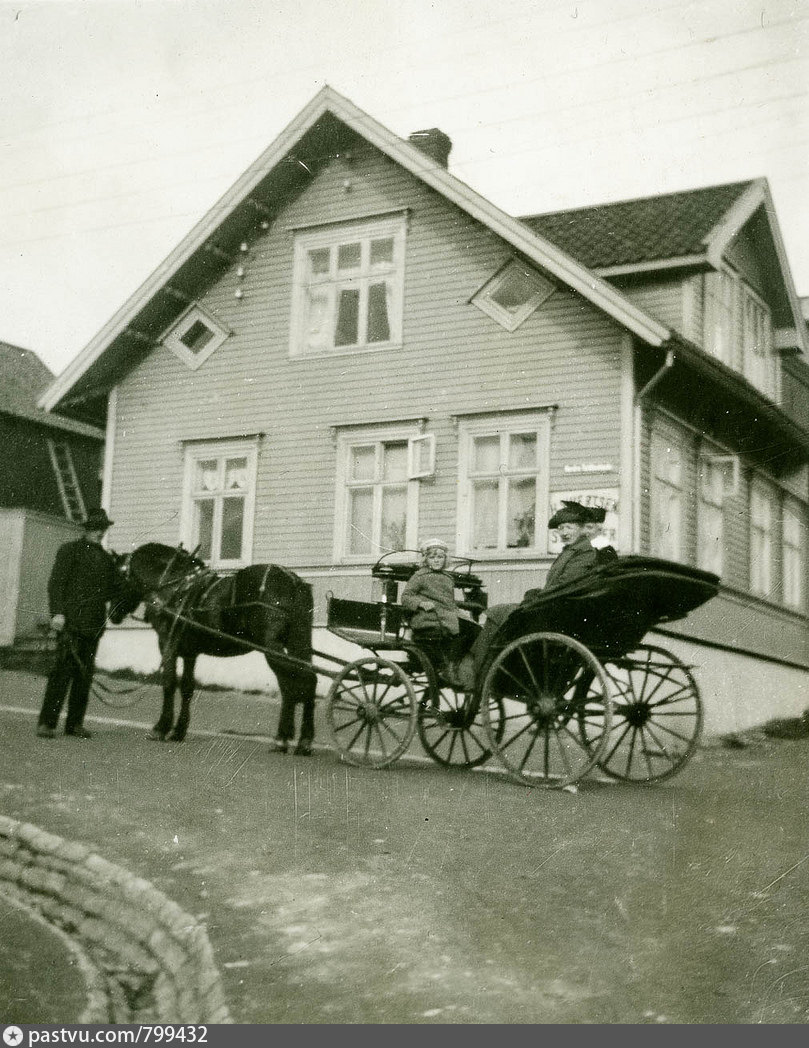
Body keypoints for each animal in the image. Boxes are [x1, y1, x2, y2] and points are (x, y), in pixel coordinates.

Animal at [120, 543, 317, 753]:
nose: (114, 616)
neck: (173, 585)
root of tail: (293, 580)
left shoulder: (167, 644)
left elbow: (169, 683)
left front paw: (162, 727)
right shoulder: (190, 653)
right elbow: (187, 687)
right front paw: (179, 730)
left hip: (271, 646)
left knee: (292, 684)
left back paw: (286, 738)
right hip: (298, 643)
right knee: (306, 680)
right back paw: (301, 739)